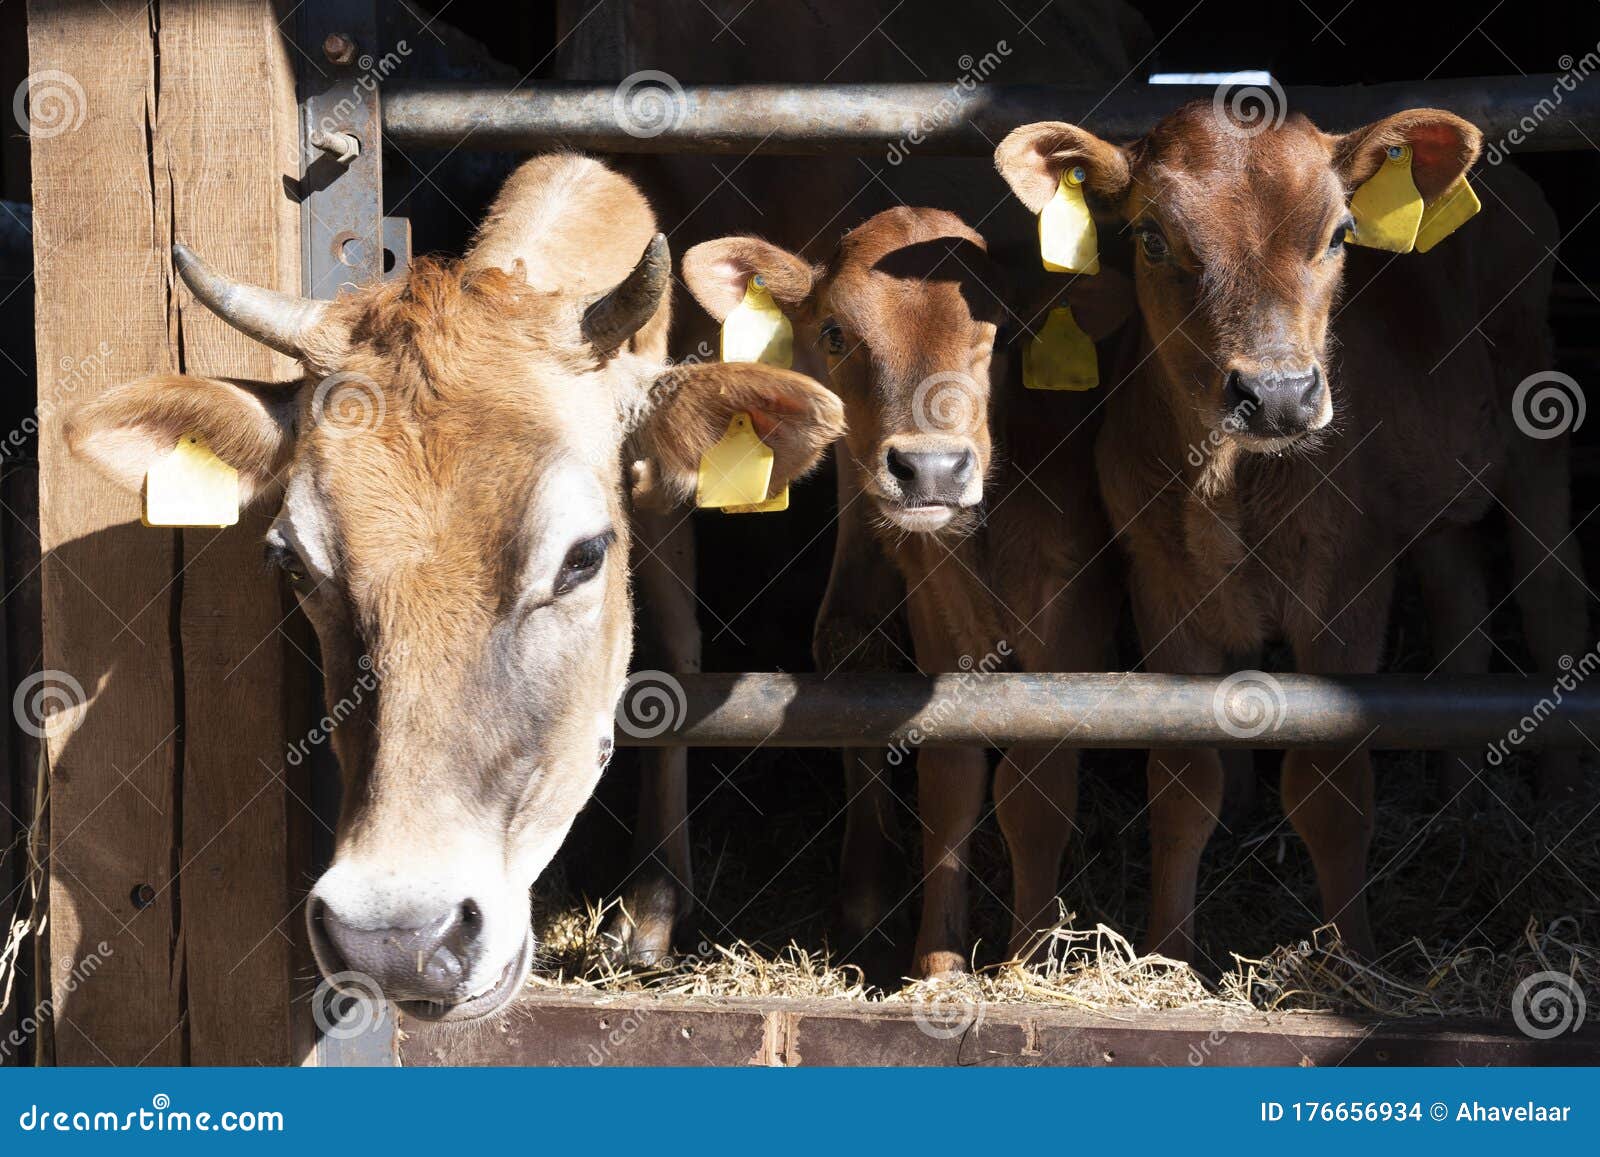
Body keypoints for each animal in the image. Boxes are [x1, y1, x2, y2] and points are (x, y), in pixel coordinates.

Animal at [681, 211, 1120, 979]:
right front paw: (938, 967)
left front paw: (1027, 965)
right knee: (847, 636)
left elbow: (1034, 796)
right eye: (834, 332)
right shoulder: (937, 618)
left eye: (1000, 328)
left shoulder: (1074, 634)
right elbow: (949, 781)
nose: (931, 468)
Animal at [998, 104, 1587, 966]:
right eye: (1150, 237)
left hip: (1538, 432)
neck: (1230, 478)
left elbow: (1330, 792)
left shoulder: (1347, 586)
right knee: (1461, 615)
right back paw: (1460, 798)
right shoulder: (1162, 585)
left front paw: (1353, 962)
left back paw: (1560, 802)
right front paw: (1172, 951)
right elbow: (1183, 780)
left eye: (1340, 233)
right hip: (1435, 504)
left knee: (1549, 600)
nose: (1277, 394)